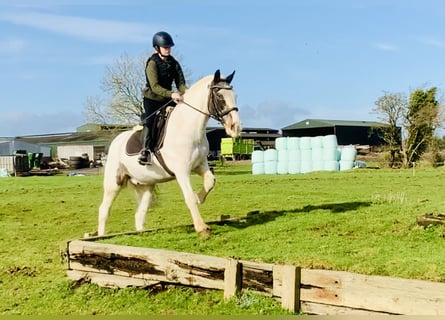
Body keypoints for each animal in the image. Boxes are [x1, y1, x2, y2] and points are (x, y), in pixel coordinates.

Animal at [97, 69, 241, 236]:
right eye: (219, 96)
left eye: (235, 95)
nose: (235, 127)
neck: (188, 127)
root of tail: (115, 142)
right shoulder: (182, 171)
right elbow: (189, 197)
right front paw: (202, 228)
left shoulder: (200, 165)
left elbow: (210, 181)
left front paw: (199, 198)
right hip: (114, 183)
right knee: (104, 210)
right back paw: (101, 236)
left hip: (146, 186)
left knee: (140, 213)